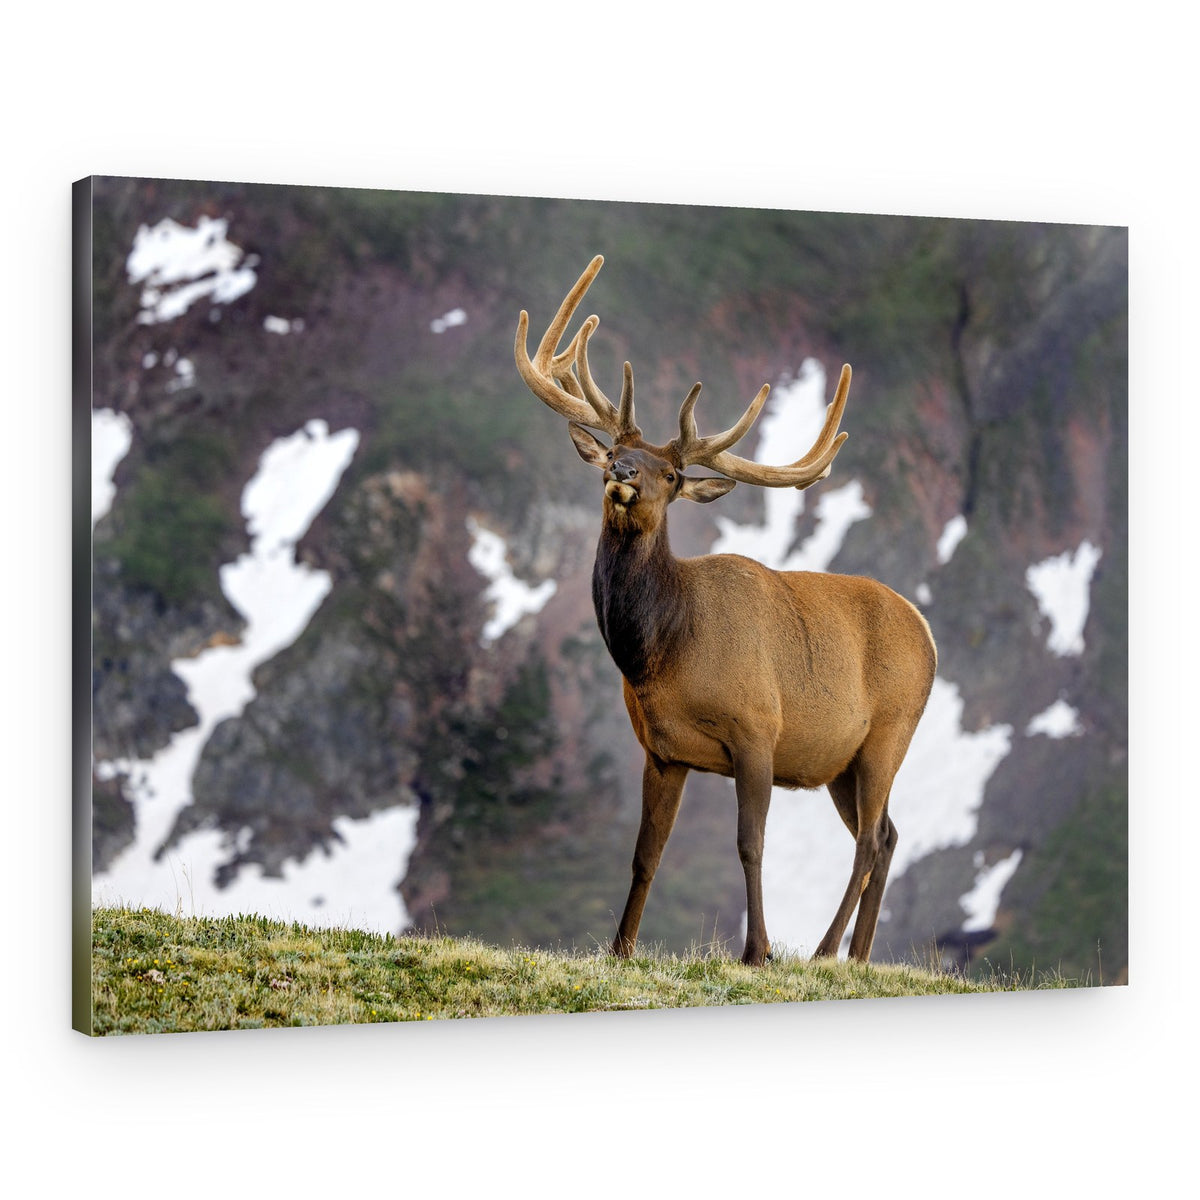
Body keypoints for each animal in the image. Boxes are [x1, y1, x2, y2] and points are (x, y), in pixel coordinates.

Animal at [514, 256, 937, 965]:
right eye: (615, 452)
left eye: (673, 476)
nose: (622, 473)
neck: (662, 655)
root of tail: (929, 632)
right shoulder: (662, 750)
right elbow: (644, 855)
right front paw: (620, 949)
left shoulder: (757, 728)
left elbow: (750, 845)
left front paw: (757, 950)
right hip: (841, 762)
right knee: (889, 835)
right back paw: (856, 956)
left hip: (889, 731)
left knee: (869, 841)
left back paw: (823, 952)